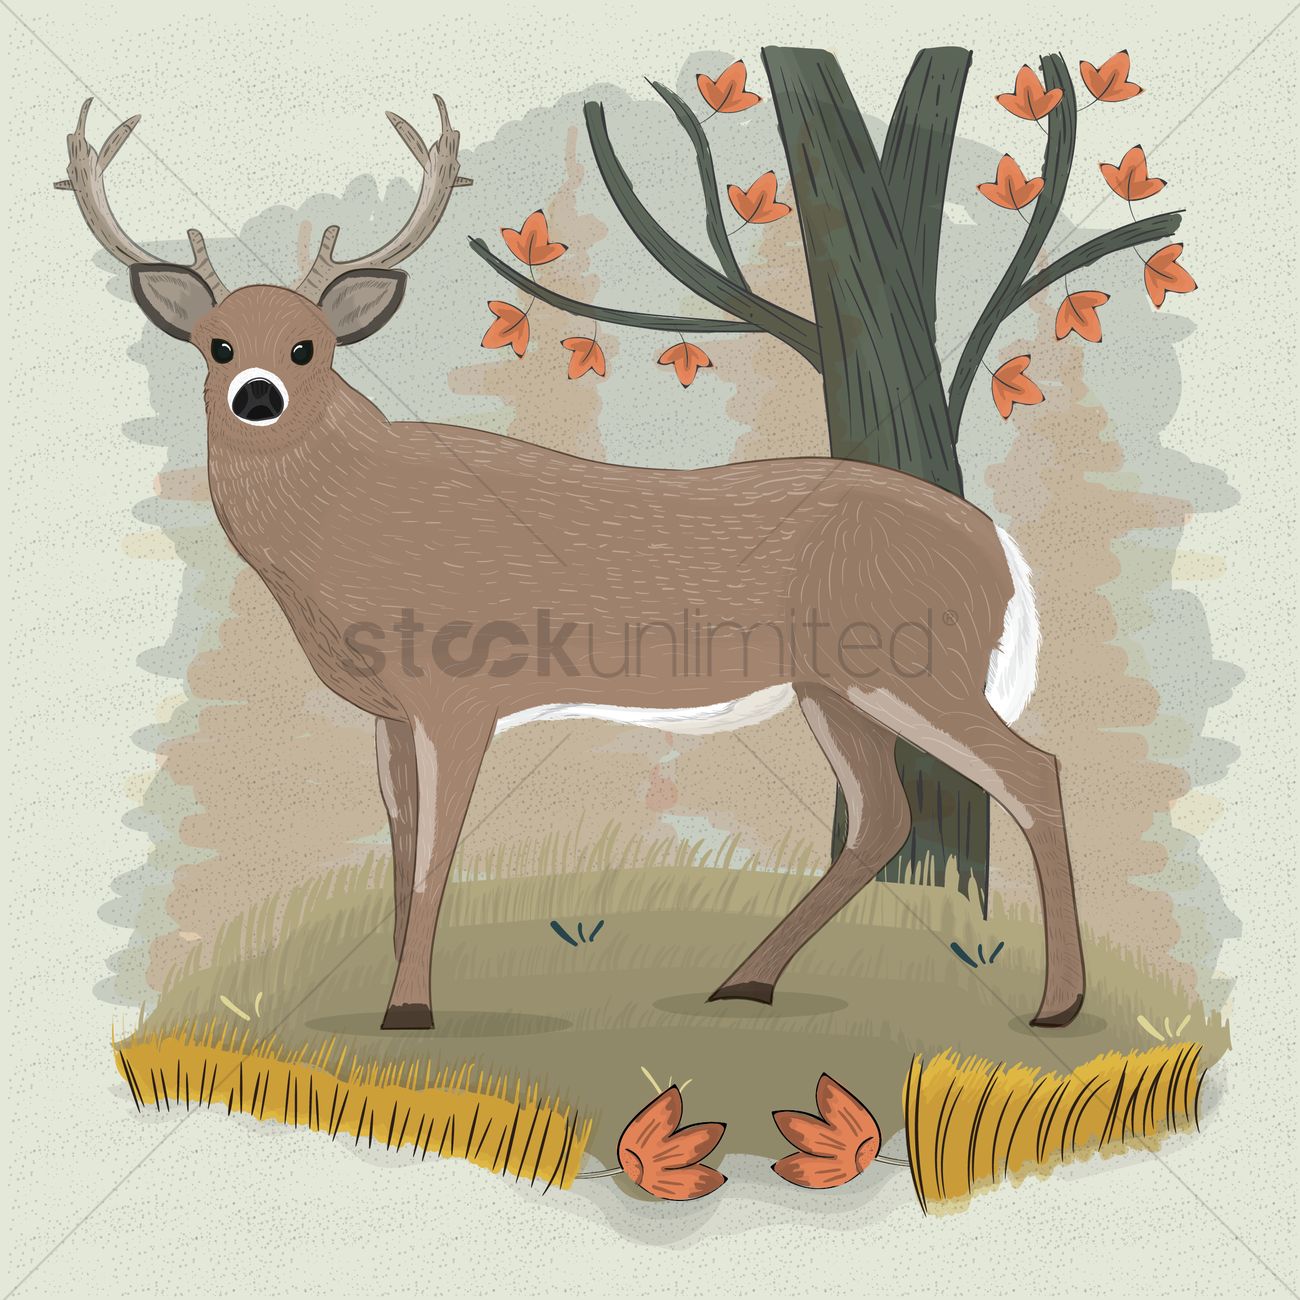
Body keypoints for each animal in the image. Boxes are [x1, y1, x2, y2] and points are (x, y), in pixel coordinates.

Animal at [58, 95, 1085, 1032]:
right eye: (216, 344)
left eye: (309, 347)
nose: (258, 395)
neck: (356, 522)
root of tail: (999, 549)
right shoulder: (387, 712)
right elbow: (398, 849)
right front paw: (386, 995)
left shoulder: (458, 691)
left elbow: (434, 857)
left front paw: (412, 1009)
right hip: (832, 684)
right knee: (883, 818)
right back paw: (744, 981)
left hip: (913, 665)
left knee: (1031, 772)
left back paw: (1057, 1005)